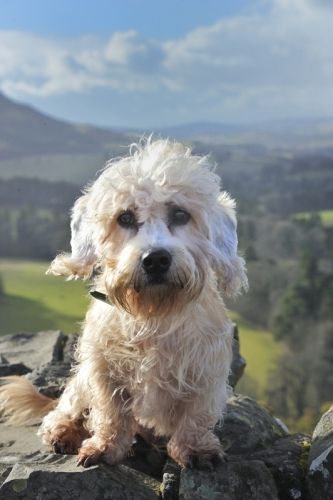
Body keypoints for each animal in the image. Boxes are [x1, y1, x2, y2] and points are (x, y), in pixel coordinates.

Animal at [0, 138, 246, 468]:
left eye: (180, 215)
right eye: (125, 217)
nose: (155, 259)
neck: (153, 316)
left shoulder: (205, 373)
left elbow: (195, 416)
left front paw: (195, 449)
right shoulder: (104, 371)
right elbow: (111, 414)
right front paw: (105, 447)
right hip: (80, 380)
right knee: (66, 407)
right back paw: (64, 431)